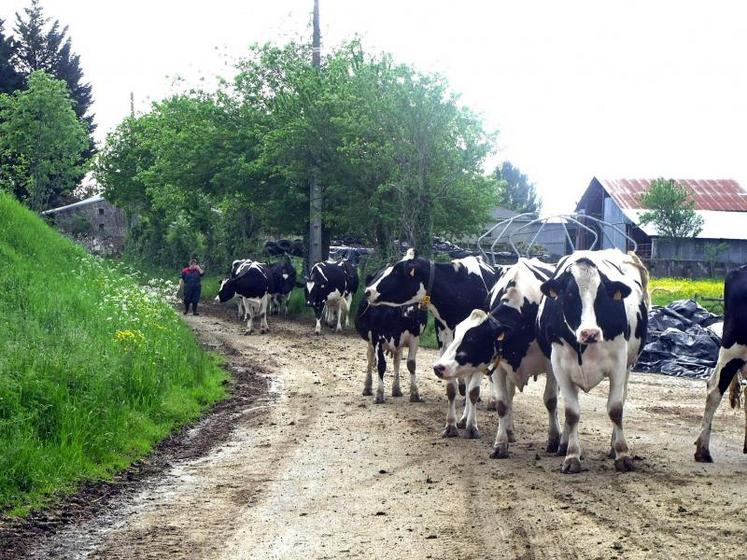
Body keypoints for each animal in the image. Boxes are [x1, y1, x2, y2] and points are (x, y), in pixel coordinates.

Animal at [364, 249, 500, 438]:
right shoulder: (445, 345)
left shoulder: (481, 351)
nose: (368, 291)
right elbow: (452, 389)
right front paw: (451, 425)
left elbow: (473, 391)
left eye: (397, 271)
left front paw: (472, 427)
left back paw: (489, 404)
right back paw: (463, 418)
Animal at [430, 258, 560, 456]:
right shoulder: (500, 364)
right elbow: (502, 404)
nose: (439, 367)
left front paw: (554, 440)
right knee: (510, 396)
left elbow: (551, 401)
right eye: (457, 333)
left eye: (473, 339)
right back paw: (509, 430)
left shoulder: (551, 365)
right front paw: (500, 445)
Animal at [536, 249, 648, 472]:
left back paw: (612, 447)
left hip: (629, 365)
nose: (590, 333)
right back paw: (562, 443)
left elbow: (616, 409)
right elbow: (572, 413)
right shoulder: (560, 365)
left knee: (622, 399)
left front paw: (623, 454)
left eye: (602, 296)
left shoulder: (618, 363)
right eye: (570, 295)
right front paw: (572, 456)